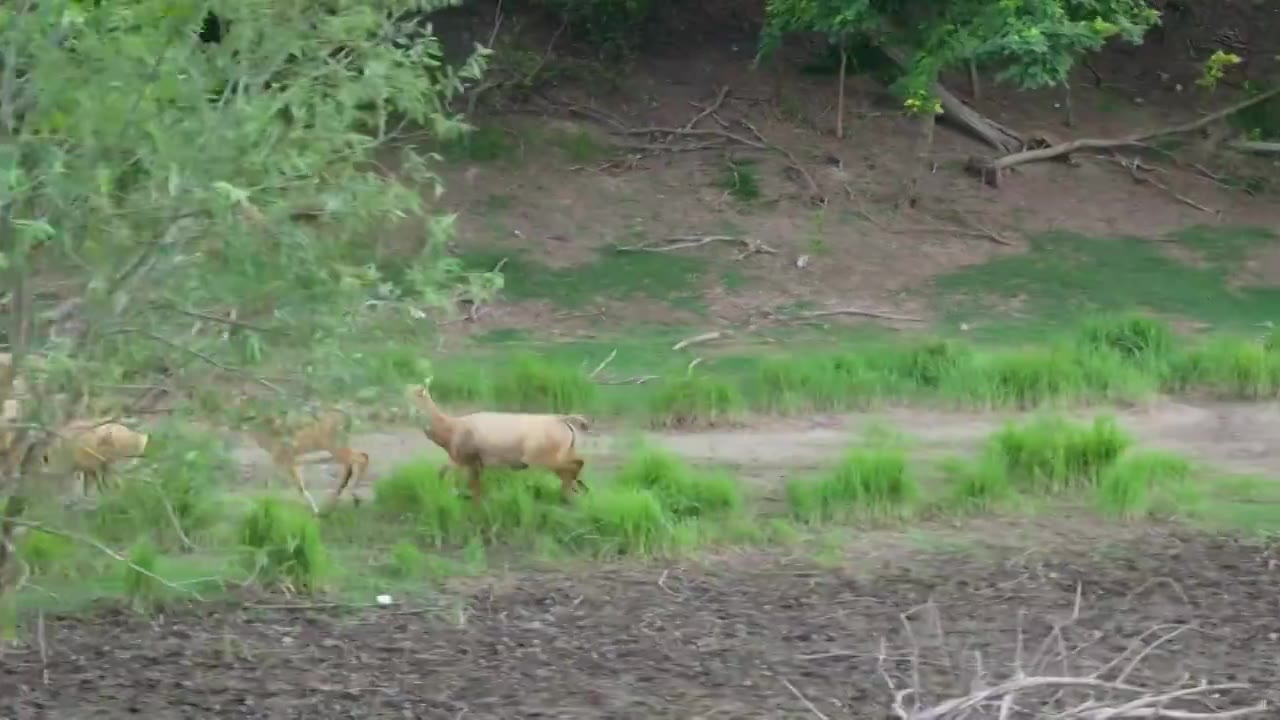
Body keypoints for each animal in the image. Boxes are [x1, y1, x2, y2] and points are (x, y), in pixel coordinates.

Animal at [409, 379, 588, 502]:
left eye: (412, 393)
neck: (450, 431)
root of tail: (563, 421)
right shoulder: (463, 461)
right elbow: (444, 474)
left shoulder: (468, 459)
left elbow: (474, 490)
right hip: (562, 453)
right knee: (574, 468)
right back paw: (574, 492)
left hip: (541, 458)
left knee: (577, 464)